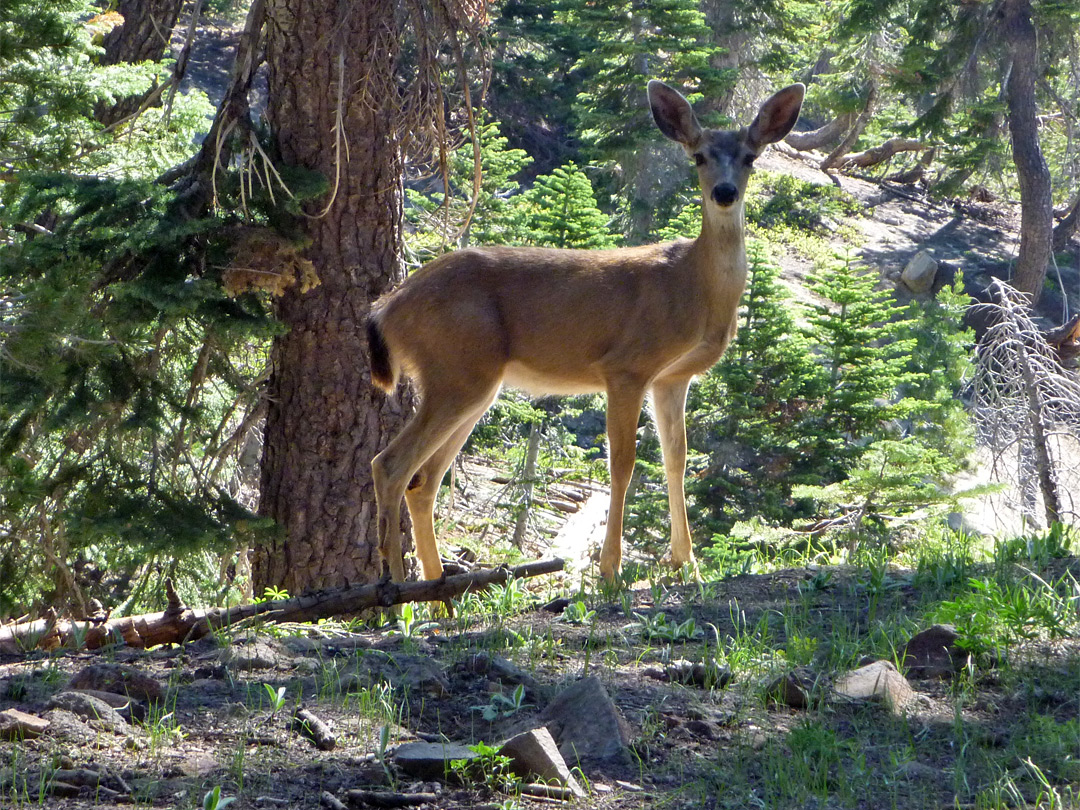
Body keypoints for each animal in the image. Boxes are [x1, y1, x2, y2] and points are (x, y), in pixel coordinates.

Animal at [369, 79, 803, 583]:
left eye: (750, 156)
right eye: (698, 156)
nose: (725, 192)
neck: (693, 287)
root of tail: (387, 308)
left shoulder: (673, 377)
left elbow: (676, 459)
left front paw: (686, 564)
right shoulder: (627, 366)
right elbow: (623, 464)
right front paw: (611, 569)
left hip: (471, 383)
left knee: (423, 481)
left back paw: (440, 589)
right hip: (455, 368)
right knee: (391, 465)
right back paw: (396, 588)